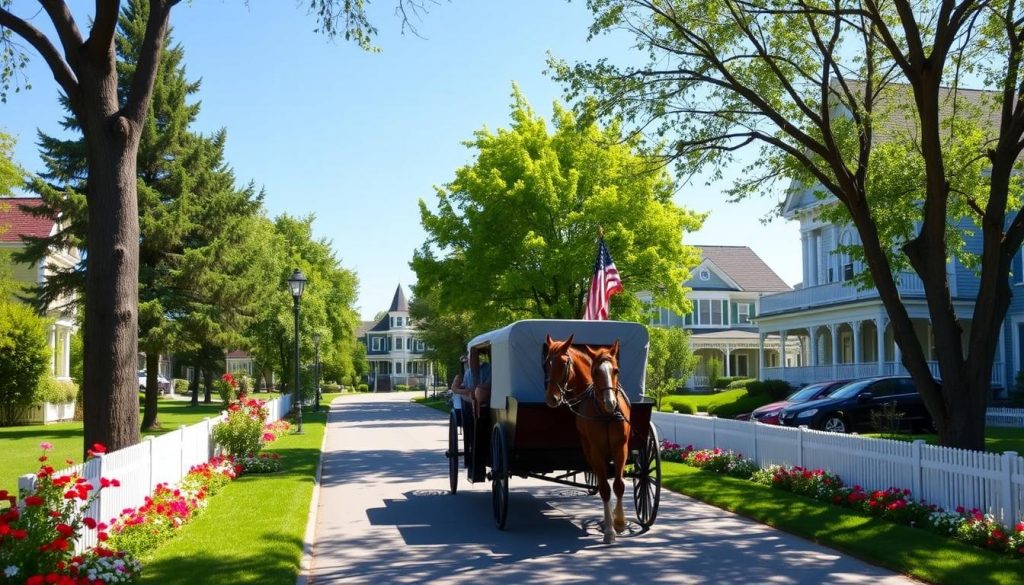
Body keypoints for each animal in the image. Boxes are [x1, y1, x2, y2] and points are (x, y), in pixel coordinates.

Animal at [544, 336, 630, 549]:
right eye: (547, 363)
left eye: (616, 370)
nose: (552, 398)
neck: (605, 413)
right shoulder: (596, 450)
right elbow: (605, 488)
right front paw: (609, 530)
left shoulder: (621, 448)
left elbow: (619, 484)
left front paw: (619, 522)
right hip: (588, 447)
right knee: (600, 479)